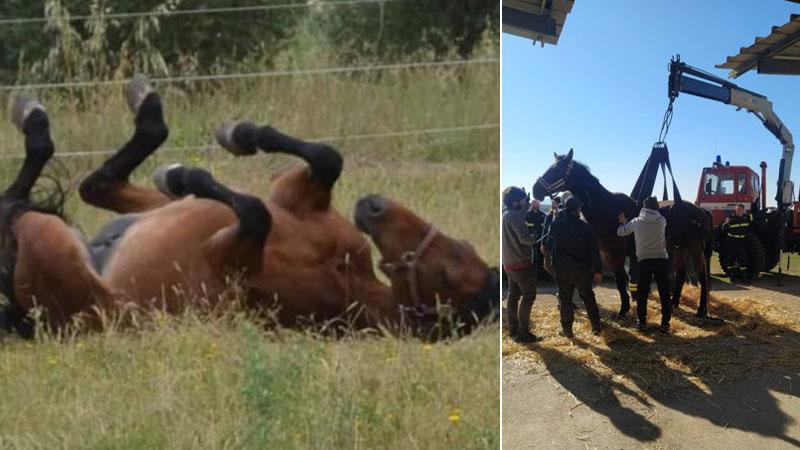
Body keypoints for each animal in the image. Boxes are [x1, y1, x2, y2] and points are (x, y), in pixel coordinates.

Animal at [0, 77, 495, 337]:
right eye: (460, 244)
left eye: (446, 277)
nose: (374, 207)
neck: (343, 271)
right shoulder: (297, 196)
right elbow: (325, 158)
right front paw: (236, 136)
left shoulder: (227, 257)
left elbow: (255, 210)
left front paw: (192, 172)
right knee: (96, 184)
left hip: (49, 241)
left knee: (18, 206)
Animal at [532, 150, 712, 318]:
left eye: (556, 169)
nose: (535, 190)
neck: (607, 209)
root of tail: (700, 211)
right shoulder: (608, 254)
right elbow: (620, 280)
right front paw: (625, 307)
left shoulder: (616, 254)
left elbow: (620, 280)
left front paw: (623, 310)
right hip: (679, 249)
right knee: (681, 274)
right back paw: (674, 303)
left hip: (694, 249)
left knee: (702, 274)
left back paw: (701, 309)